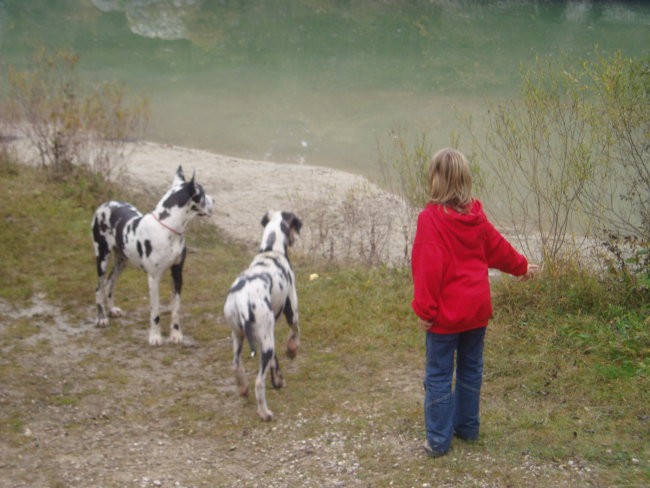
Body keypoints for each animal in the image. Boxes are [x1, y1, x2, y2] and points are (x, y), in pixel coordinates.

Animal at [91, 166, 214, 346]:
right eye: (203, 194)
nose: (215, 201)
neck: (168, 228)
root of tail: (105, 204)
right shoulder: (154, 278)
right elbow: (155, 310)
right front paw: (155, 337)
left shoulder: (177, 273)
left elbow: (176, 308)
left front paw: (176, 334)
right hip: (102, 258)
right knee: (99, 287)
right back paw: (101, 317)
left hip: (122, 262)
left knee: (110, 283)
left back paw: (112, 310)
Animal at [223, 212, 302, 422]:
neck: (271, 251)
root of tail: (243, 300)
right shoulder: (291, 310)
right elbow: (295, 333)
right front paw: (292, 350)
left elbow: (275, 363)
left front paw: (278, 380)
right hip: (266, 344)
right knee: (259, 382)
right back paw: (264, 412)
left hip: (239, 337)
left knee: (236, 366)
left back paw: (243, 388)